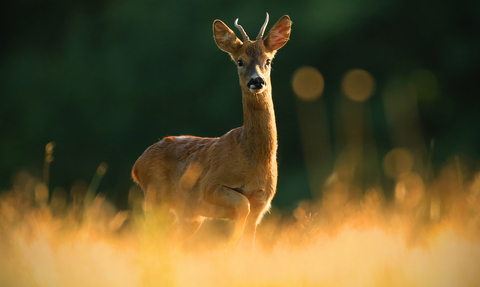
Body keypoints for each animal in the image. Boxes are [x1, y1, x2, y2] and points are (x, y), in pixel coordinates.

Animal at [130, 13, 292, 248]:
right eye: (240, 61)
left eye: (268, 60)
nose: (257, 81)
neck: (253, 157)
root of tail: (136, 166)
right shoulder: (210, 185)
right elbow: (242, 207)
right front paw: (227, 247)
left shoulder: (262, 202)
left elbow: (248, 242)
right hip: (155, 198)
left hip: (189, 215)